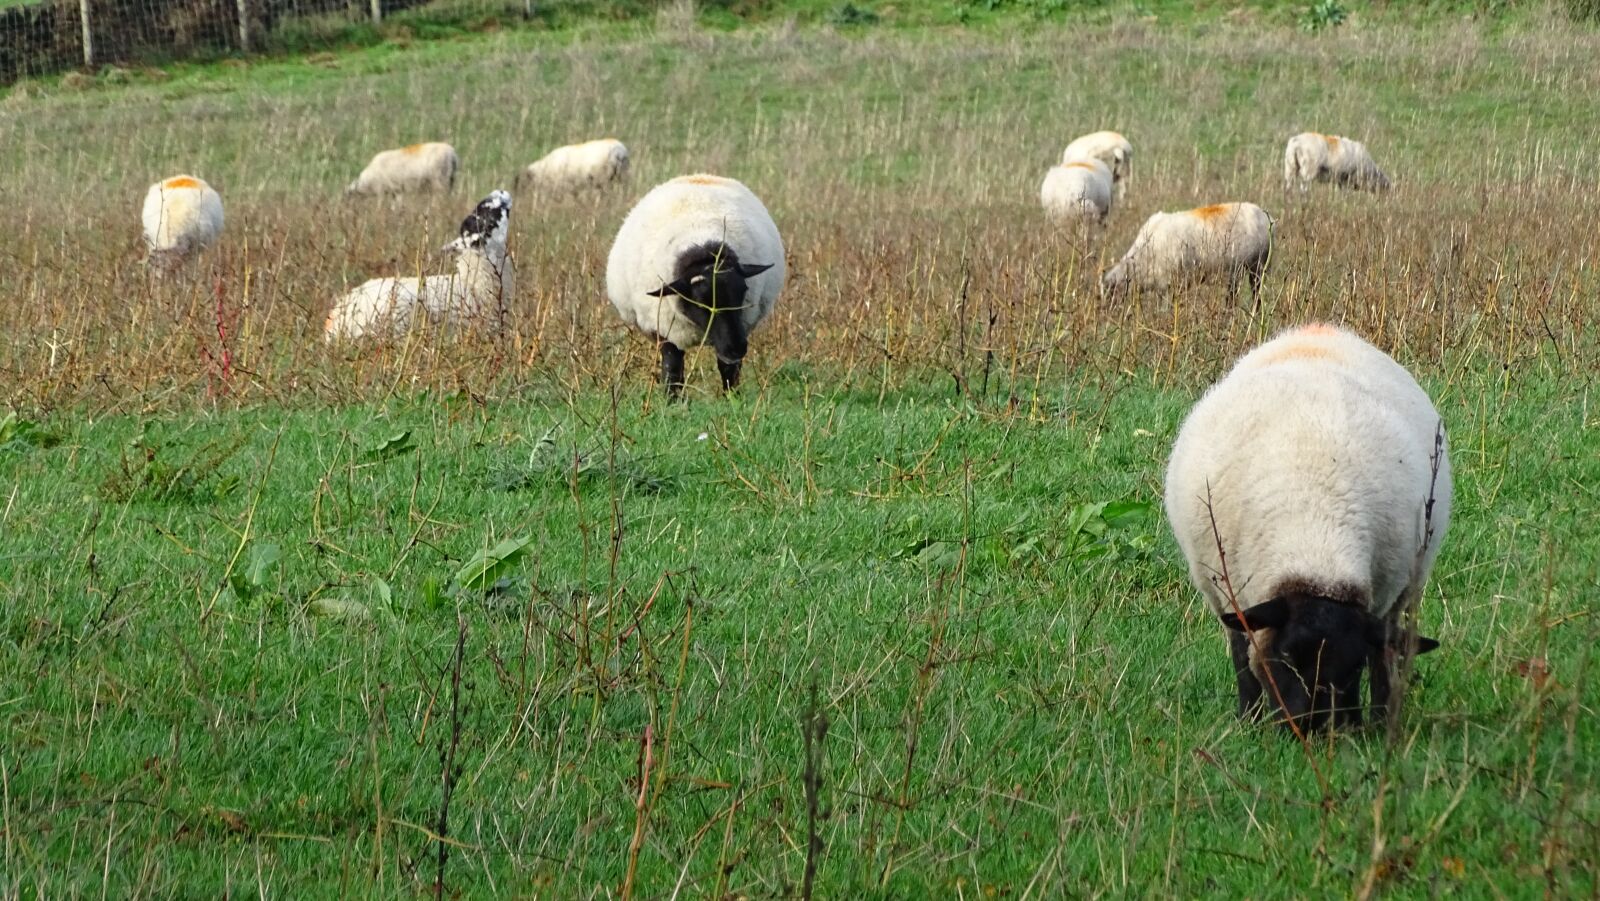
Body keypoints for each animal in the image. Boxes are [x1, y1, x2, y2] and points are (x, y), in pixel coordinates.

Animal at [605, 174, 785, 398]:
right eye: (699, 301)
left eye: (743, 291)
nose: (737, 348)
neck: (702, 250)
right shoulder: (666, 330)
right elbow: (672, 370)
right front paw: (672, 402)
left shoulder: (738, 326)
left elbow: (728, 368)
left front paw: (732, 399)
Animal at [1164, 323, 1452, 730]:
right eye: (1286, 657)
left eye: (1351, 667)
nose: (1309, 727)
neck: (1317, 537)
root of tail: (1318, 330)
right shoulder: (1230, 594)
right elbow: (1243, 661)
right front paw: (1249, 722)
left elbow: (1378, 658)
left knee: (1387, 656)